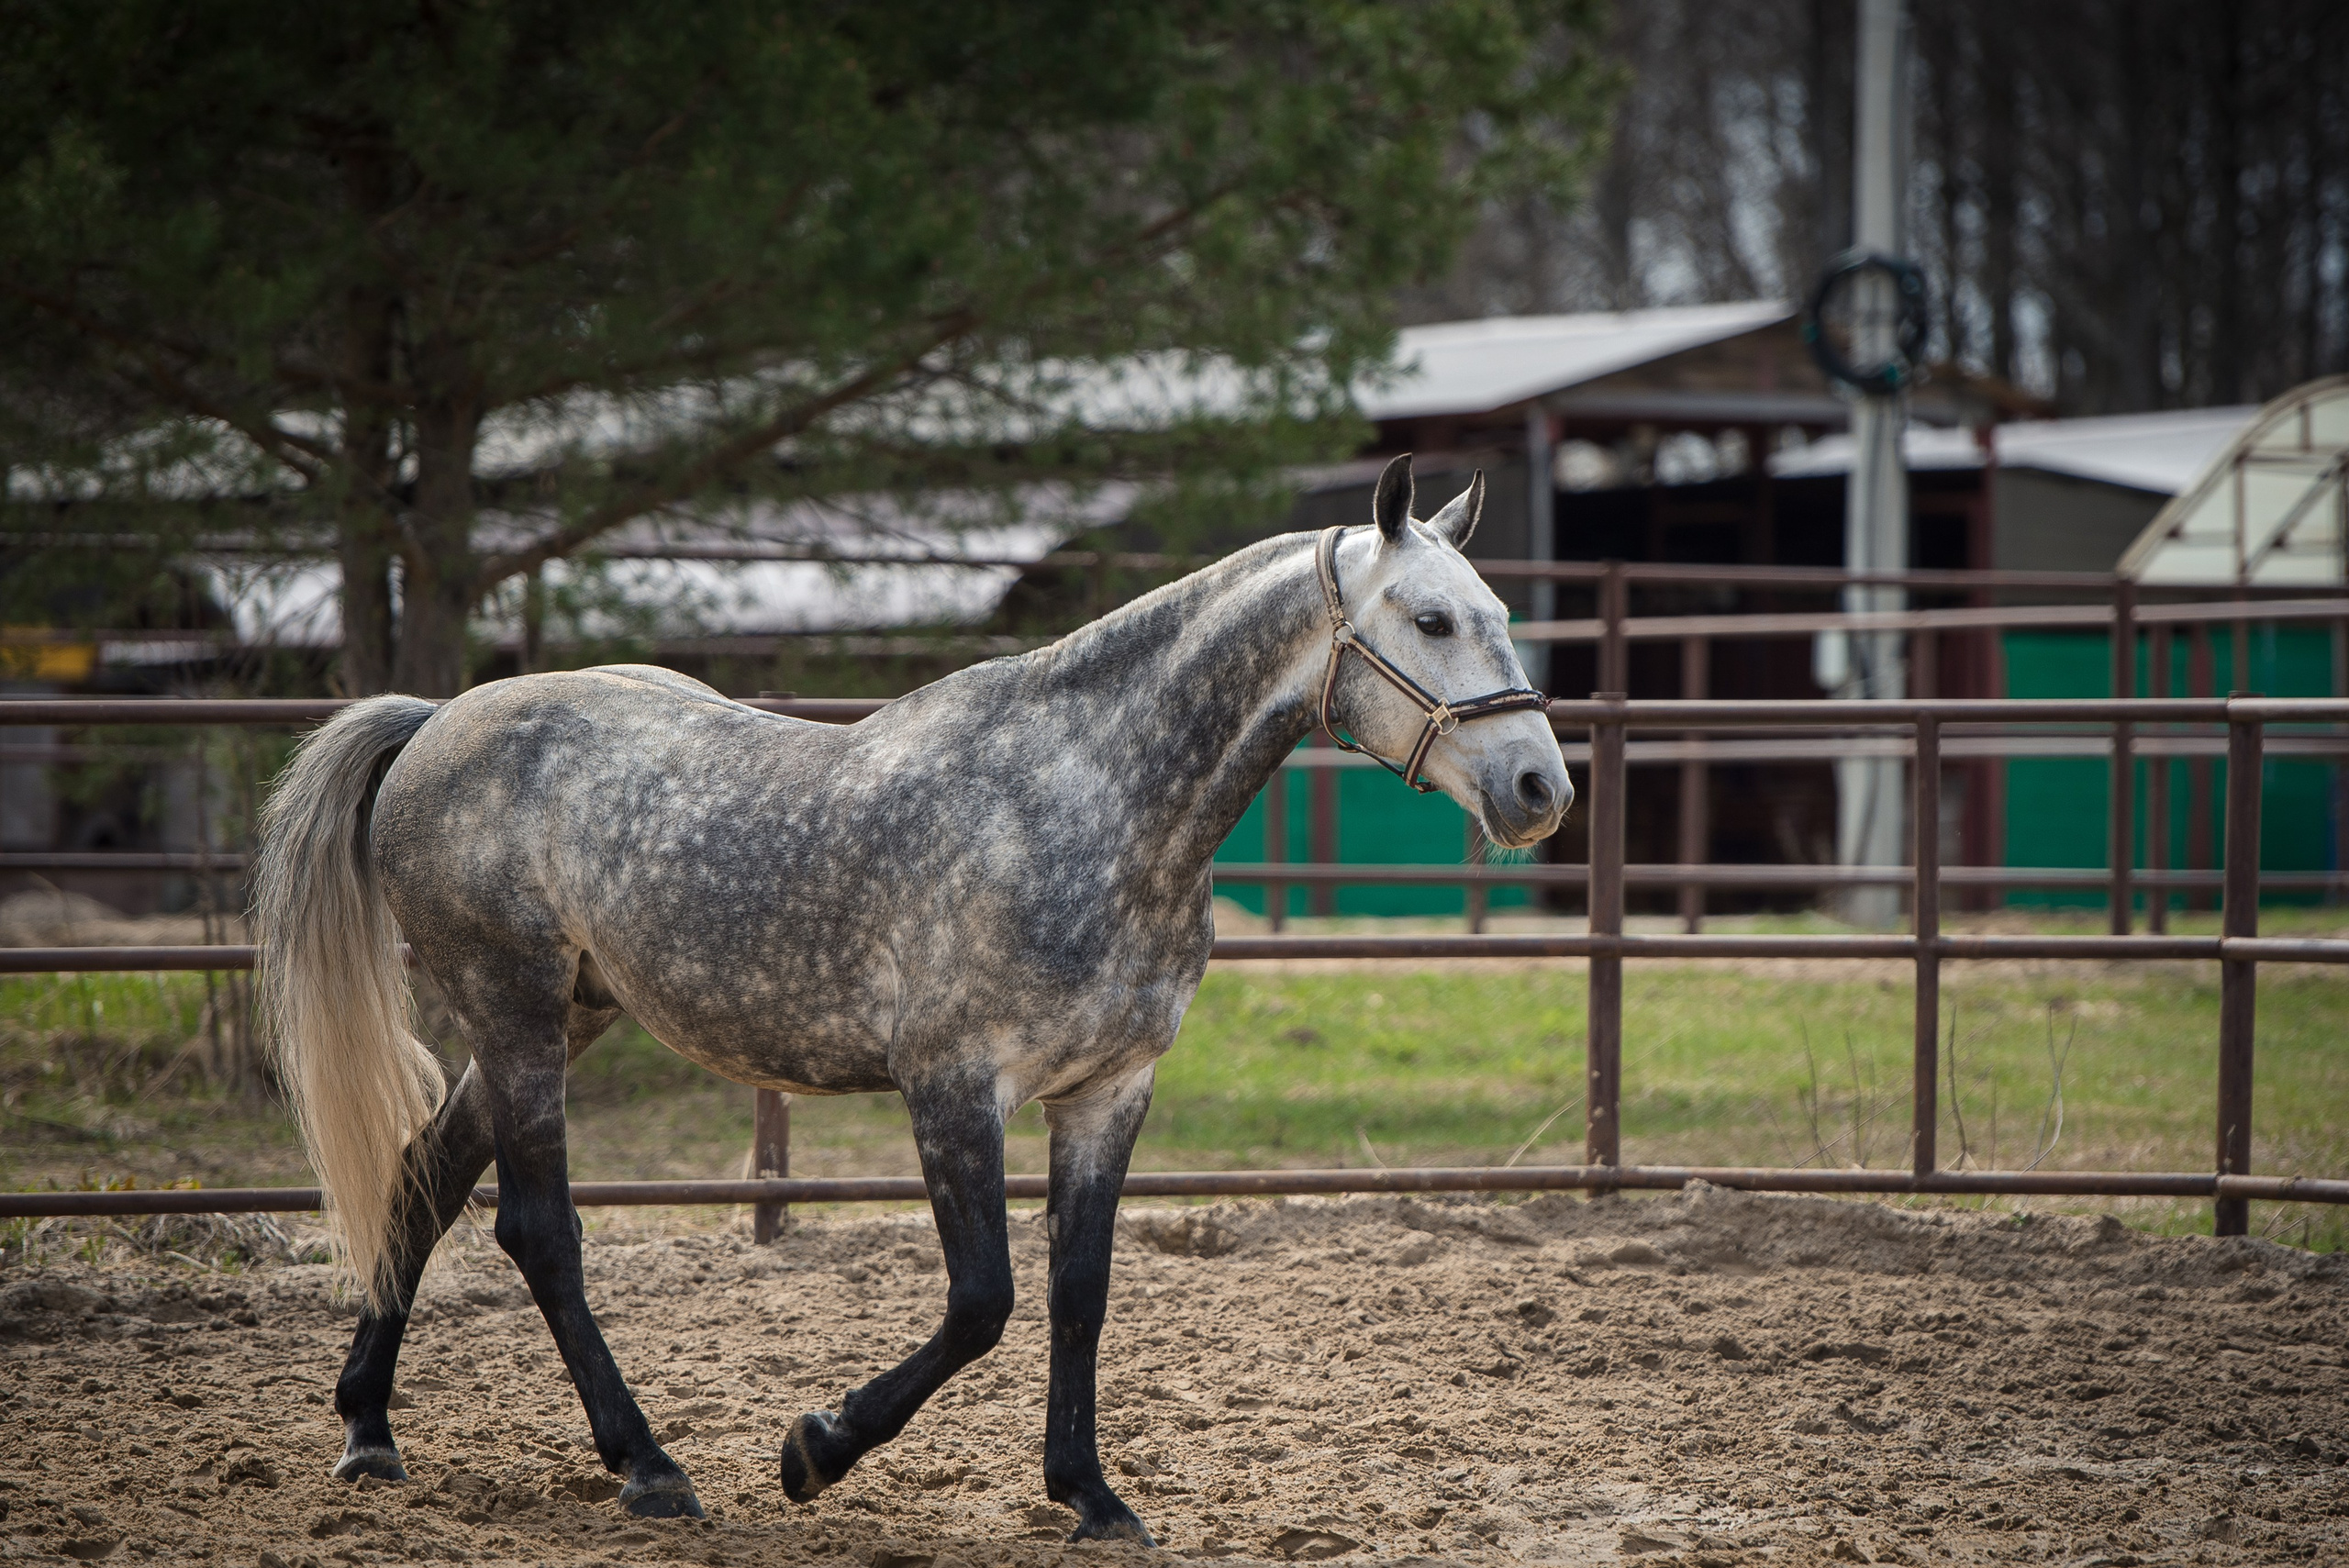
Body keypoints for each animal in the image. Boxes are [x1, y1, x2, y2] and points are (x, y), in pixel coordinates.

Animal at [251, 453, 1572, 1541]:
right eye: (1432, 617)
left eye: (1505, 616)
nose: (1540, 788)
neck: (1088, 802)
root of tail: (437, 721)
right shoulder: (952, 1085)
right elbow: (984, 1299)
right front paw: (814, 1449)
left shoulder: (1107, 1092)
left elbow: (1079, 1289)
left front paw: (1090, 1495)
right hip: (516, 1010)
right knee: (539, 1231)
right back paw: (648, 1468)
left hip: (562, 1014)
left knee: (424, 1179)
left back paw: (369, 1432)